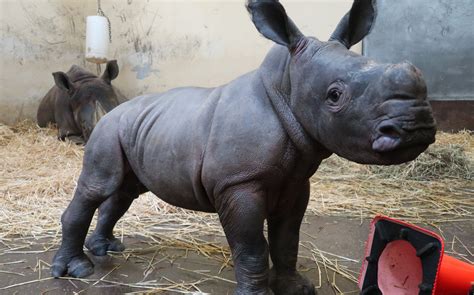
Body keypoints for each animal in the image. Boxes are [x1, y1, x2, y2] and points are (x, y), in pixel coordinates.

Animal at [51, 1, 436, 294]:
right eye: (335, 96)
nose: (416, 126)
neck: (285, 88)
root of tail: (112, 112)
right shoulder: (238, 183)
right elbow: (252, 247)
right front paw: (258, 292)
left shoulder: (296, 183)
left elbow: (287, 240)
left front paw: (296, 288)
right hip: (106, 133)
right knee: (99, 186)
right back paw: (79, 270)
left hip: (136, 132)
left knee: (124, 191)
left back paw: (107, 249)